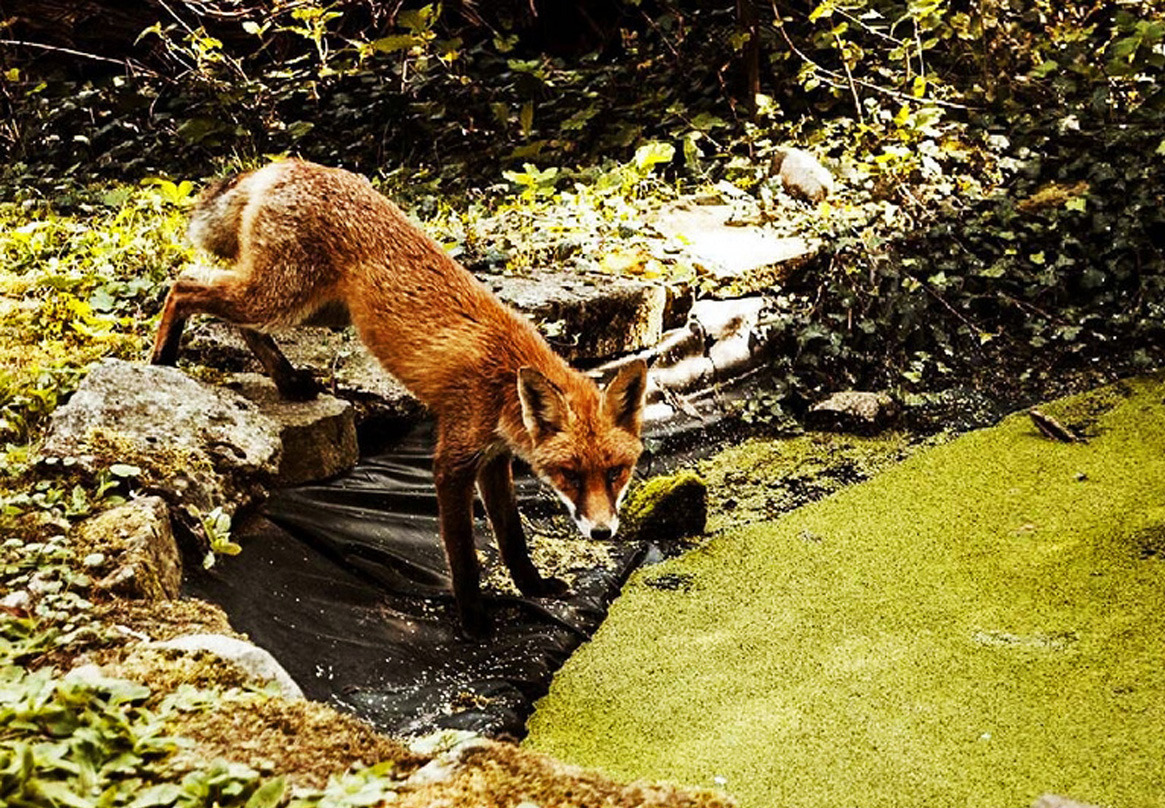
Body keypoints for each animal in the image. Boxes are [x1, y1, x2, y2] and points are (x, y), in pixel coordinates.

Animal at [150, 159, 648, 637]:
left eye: (616, 472)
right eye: (571, 475)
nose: (602, 533)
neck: (504, 380)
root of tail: (282, 165)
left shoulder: (493, 460)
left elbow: (511, 535)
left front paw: (534, 587)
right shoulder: (453, 461)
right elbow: (464, 556)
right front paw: (474, 625)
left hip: (311, 308)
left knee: (239, 322)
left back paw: (287, 381)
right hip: (280, 296)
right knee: (184, 282)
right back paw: (162, 358)